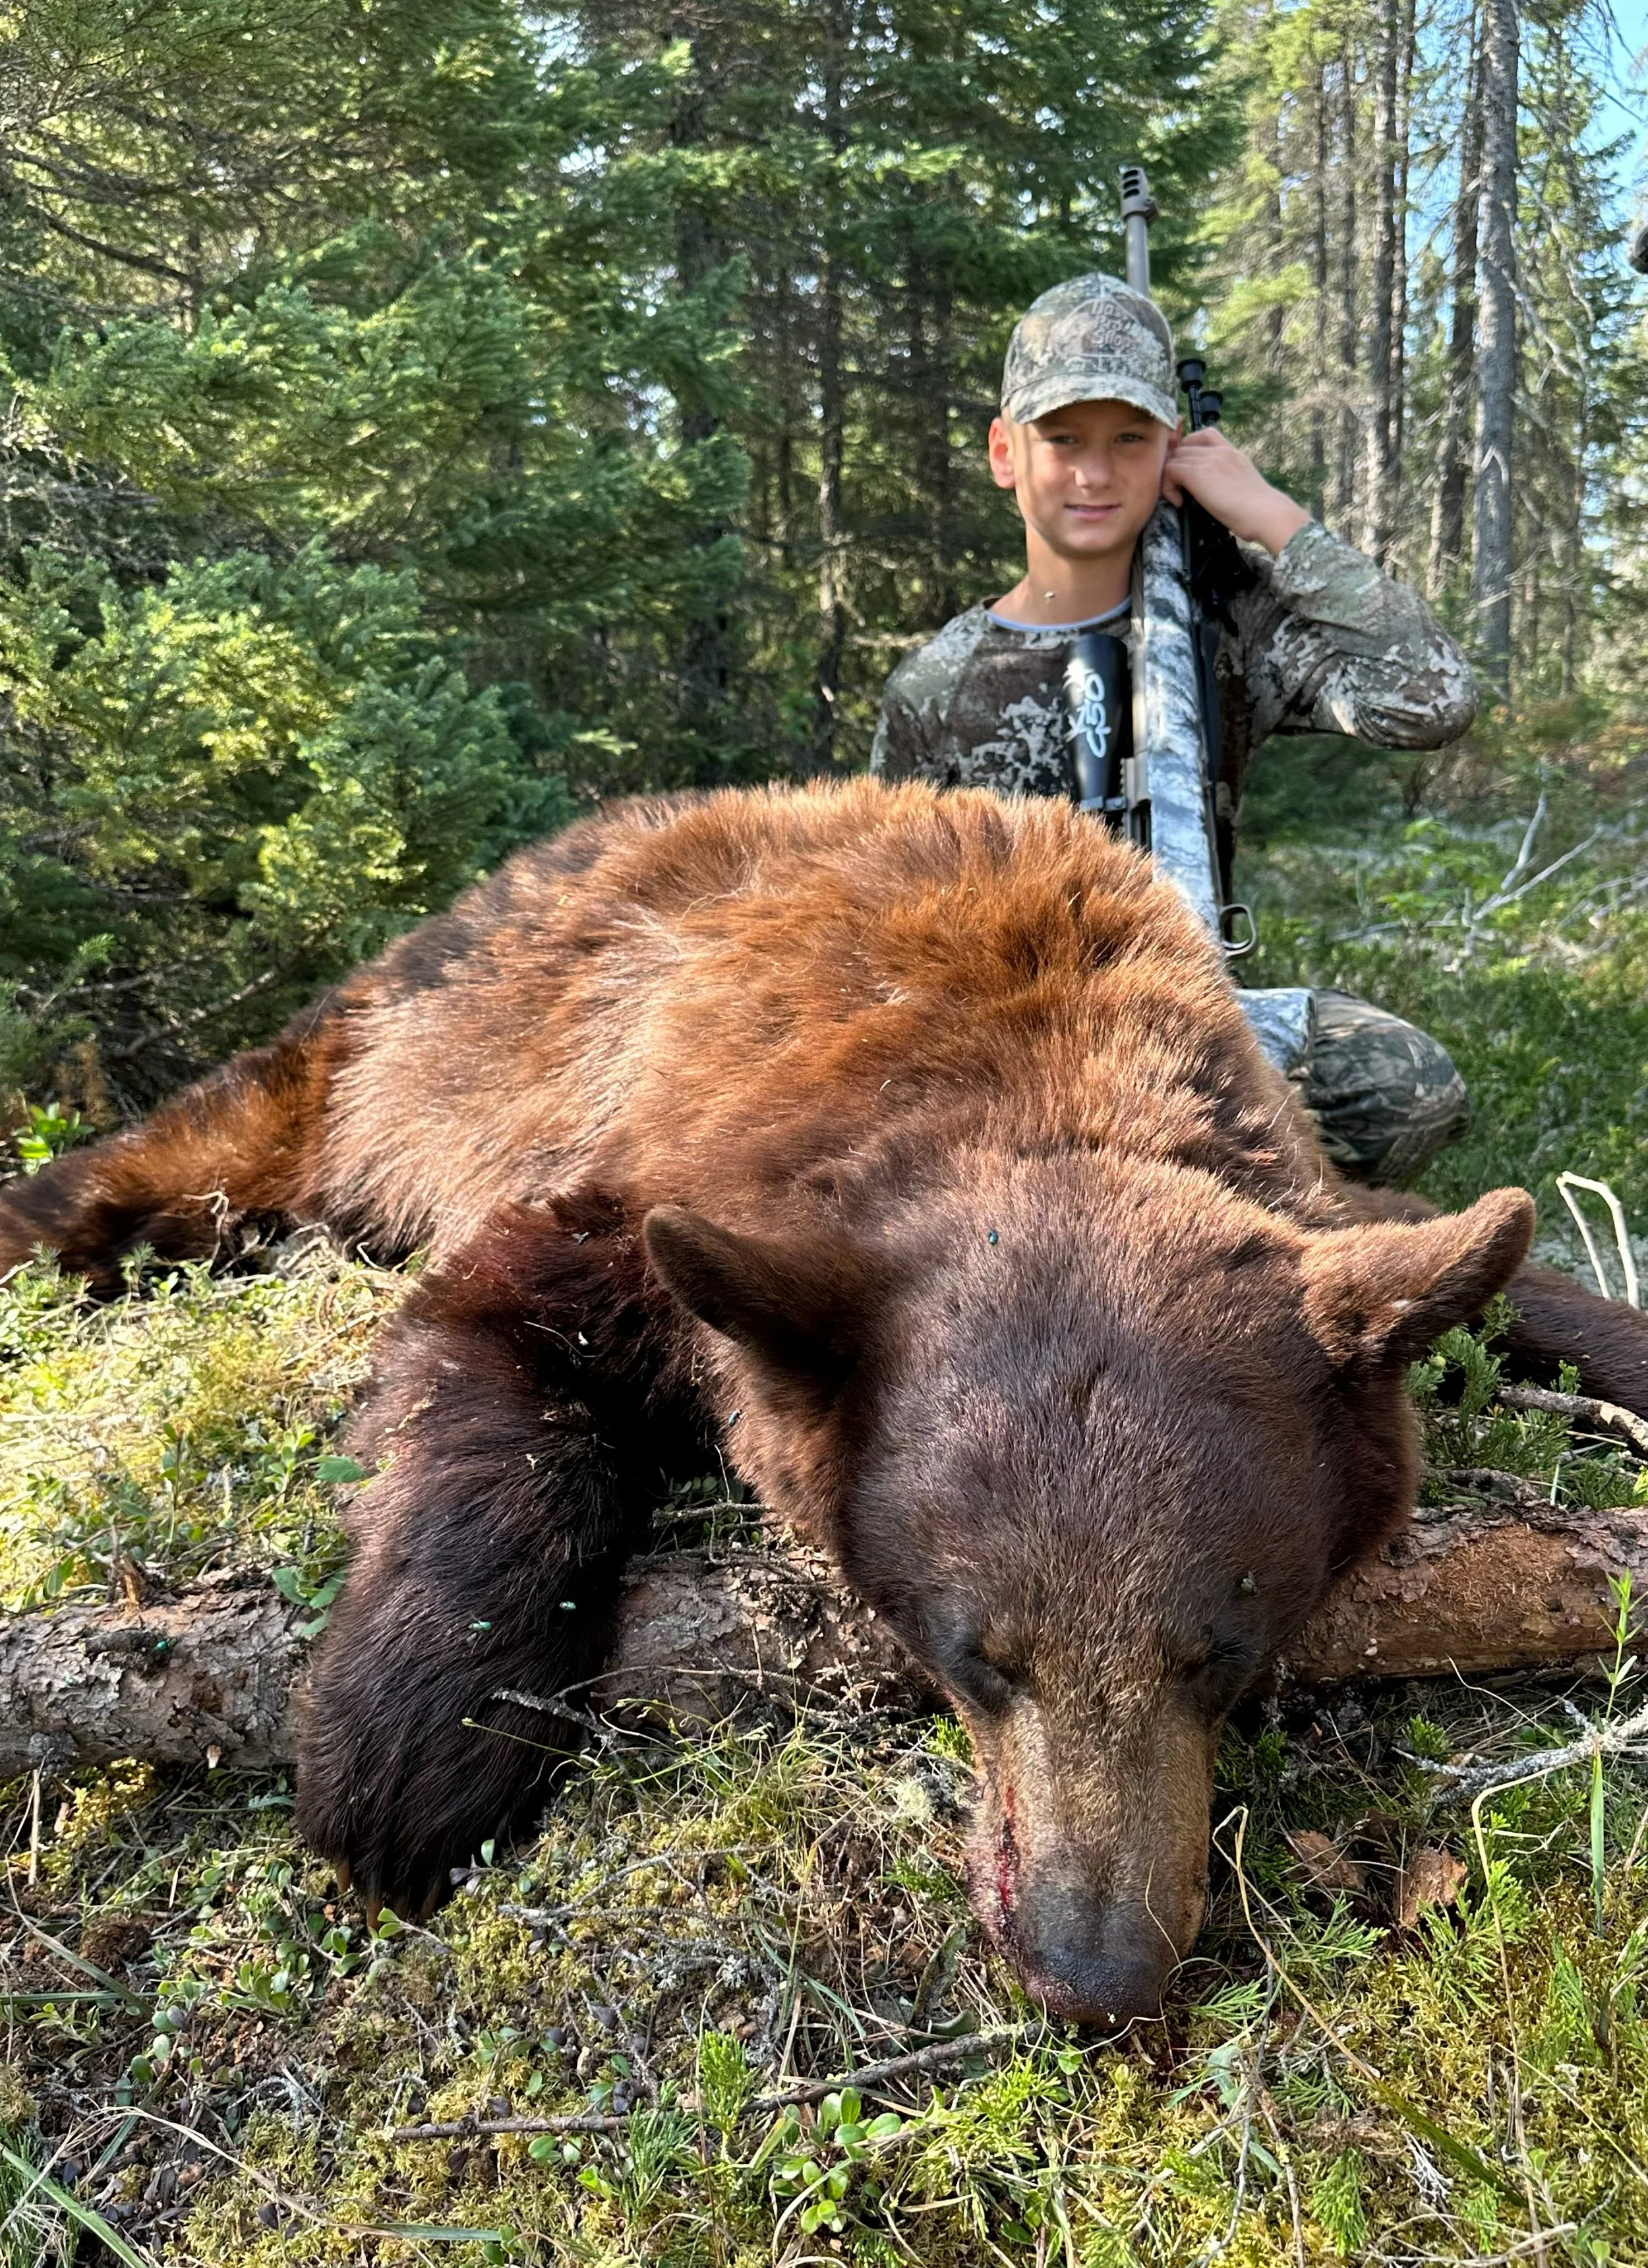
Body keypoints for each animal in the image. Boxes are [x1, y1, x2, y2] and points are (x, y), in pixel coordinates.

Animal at [5, 778, 1646, 2024]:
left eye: (1220, 1654)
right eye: (977, 1656)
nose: (1091, 1970)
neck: (1023, 1071)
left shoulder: (1306, 1199)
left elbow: (1506, 1272)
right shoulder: (657, 1187)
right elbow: (493, 1340)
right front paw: (401, 1761)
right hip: (382, 1046)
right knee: (193, 1150)